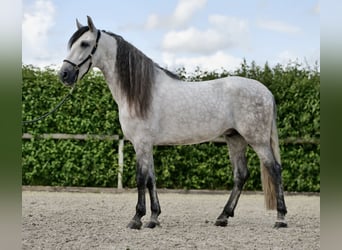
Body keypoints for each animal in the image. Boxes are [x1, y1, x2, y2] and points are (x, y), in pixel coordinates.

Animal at [60, 16, 288, 229]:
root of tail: (267, 92)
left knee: (275, 169)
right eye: (71, 44)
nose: (63, 74)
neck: (138, 94)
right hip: (235, 139)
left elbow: (140, 178)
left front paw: (137, 218)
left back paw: (280, 218)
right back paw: (223, 217)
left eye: (85, 43)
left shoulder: (141, 143)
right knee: (240, 175)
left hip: (257, 140)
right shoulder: (146, 144)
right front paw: (154, 218)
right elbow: (151, 179)